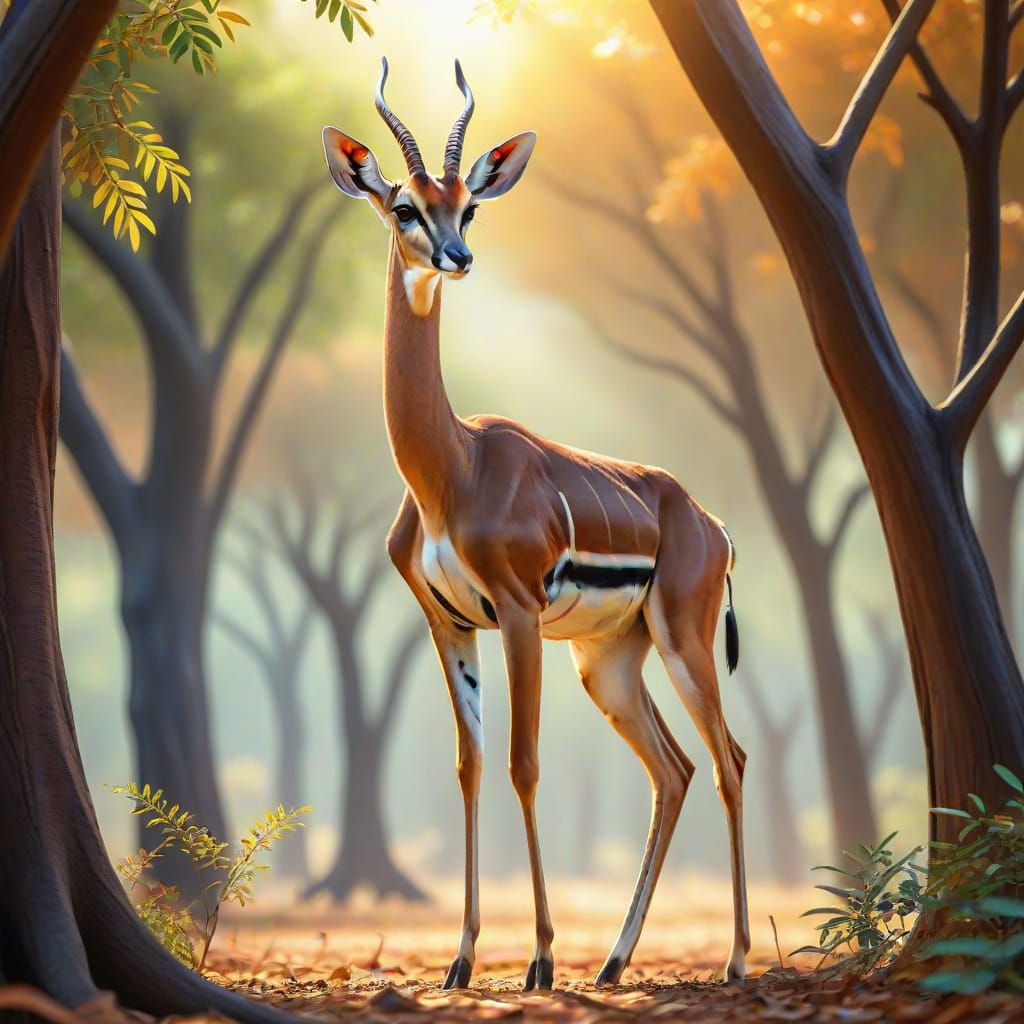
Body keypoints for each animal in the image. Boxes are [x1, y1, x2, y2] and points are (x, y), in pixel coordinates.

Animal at [321, 59, 750, 991]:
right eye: (404, 205)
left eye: (469, 204)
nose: (457, 256)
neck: (450, 468)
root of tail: (710, 521)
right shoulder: (448, 622)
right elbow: (471, 766)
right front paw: (460, 959)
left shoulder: (516, 613)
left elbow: (523, 765)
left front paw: (541, 958)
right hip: (608, 663)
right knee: (676, 770)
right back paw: (615, 962)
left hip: (681, 640)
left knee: (728, 760)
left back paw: (735, 960)